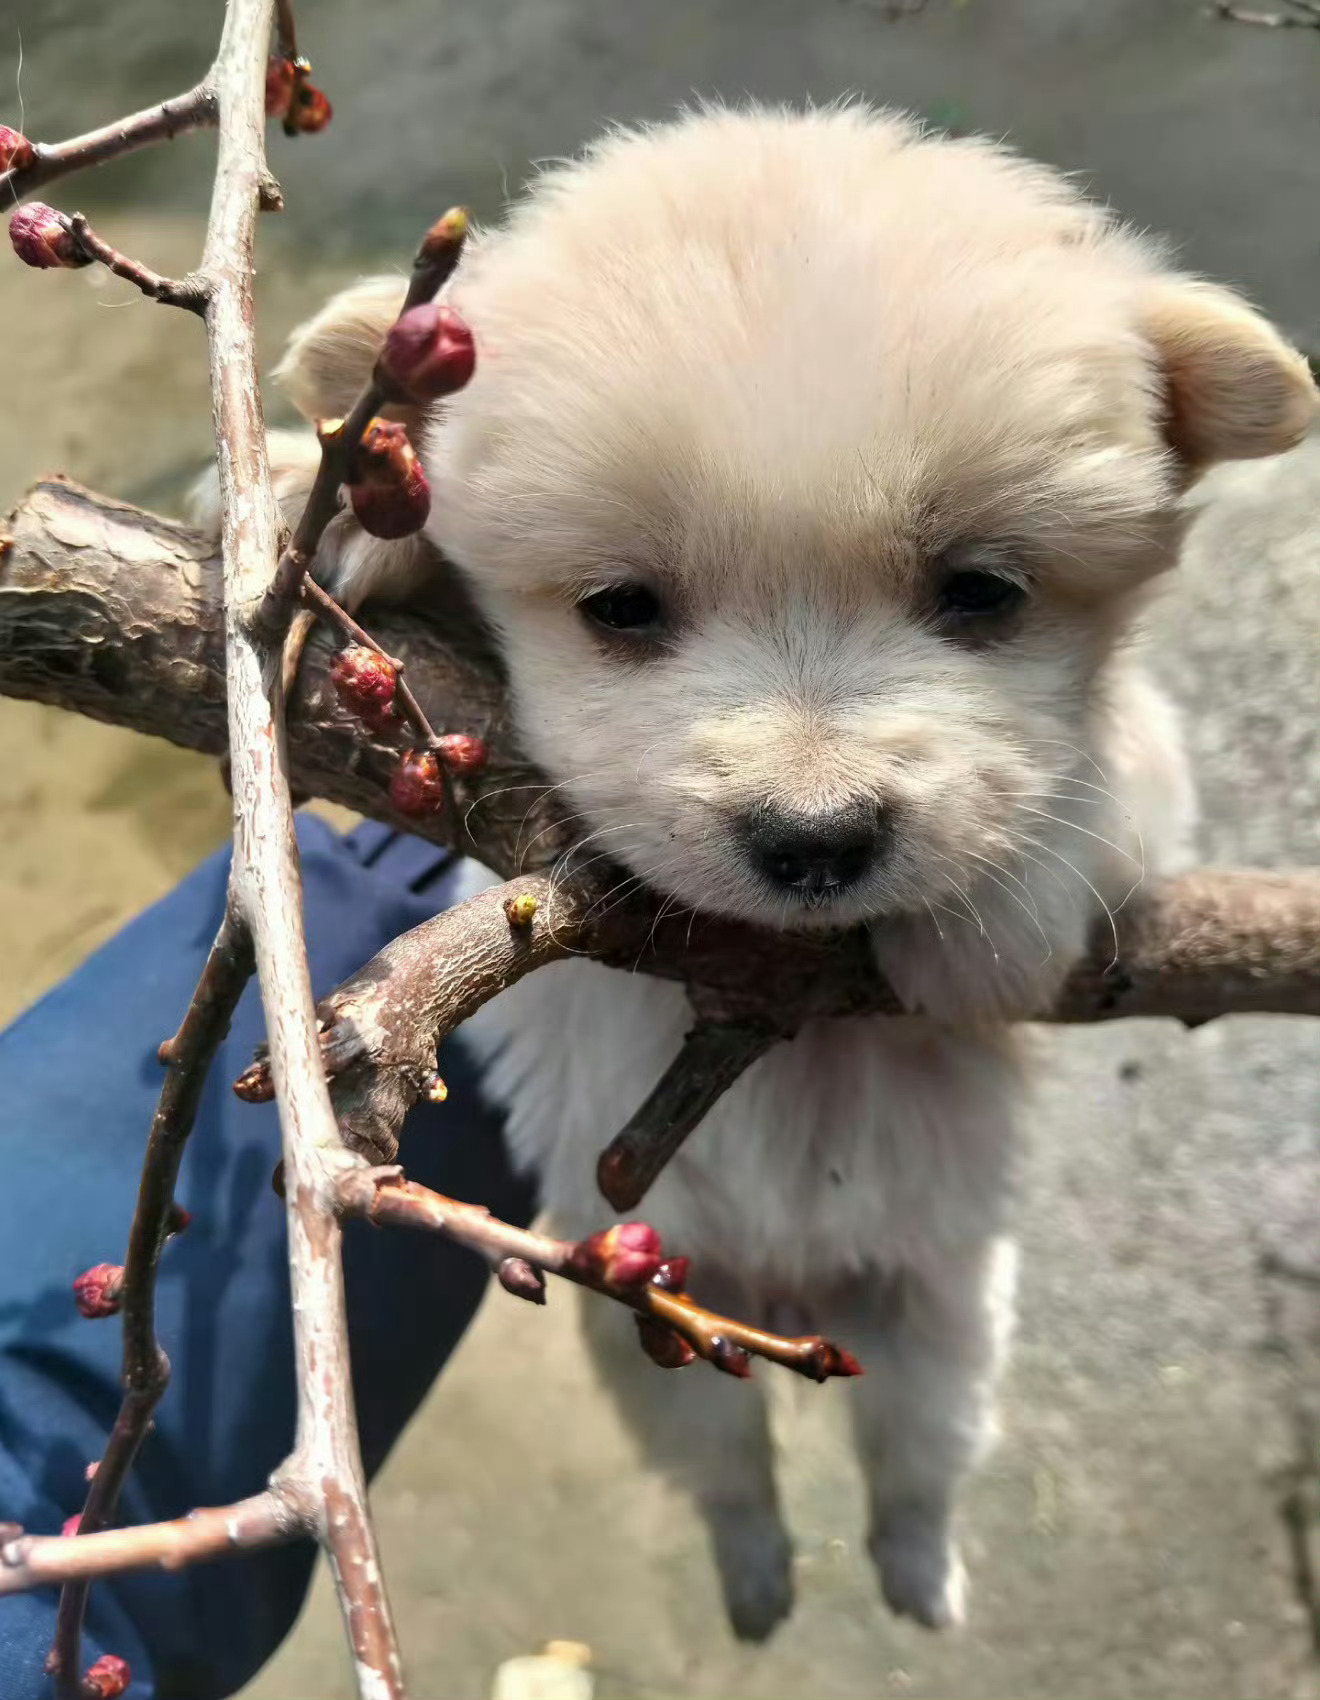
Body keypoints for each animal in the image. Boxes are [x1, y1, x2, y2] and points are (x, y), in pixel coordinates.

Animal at [254, 104, 1316, 1639]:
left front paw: (994, 916)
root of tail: (805, 1288)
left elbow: (1091, 768)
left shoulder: (1155, 772)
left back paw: (919, 1575)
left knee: (914, 1466)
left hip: (947, 1328)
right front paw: (324, 497)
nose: (816, 842)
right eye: (619, 608)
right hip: (640, 1339)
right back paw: (758, 1580)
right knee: (730, 1470)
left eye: (984, 592)